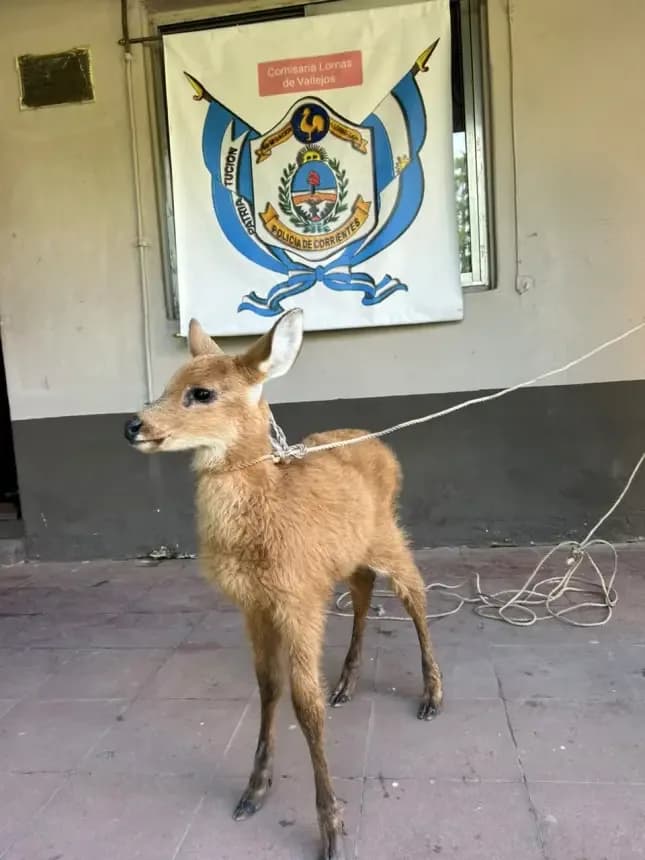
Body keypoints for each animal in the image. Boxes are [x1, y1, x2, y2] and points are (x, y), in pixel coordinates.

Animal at [124, 309, 443, 860]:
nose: (133, 425)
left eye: (201, 393)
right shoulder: (256, 603)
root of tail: (385, 451)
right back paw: (347, 685)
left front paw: (332, 829)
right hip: (348, 553)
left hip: (385, 532)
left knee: (415, 592)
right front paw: (254, 790)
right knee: (363, 589)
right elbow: (269, 687)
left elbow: (305, 705)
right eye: (167, 384)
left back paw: (431, 696)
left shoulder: (298, 597)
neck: (267, 513)